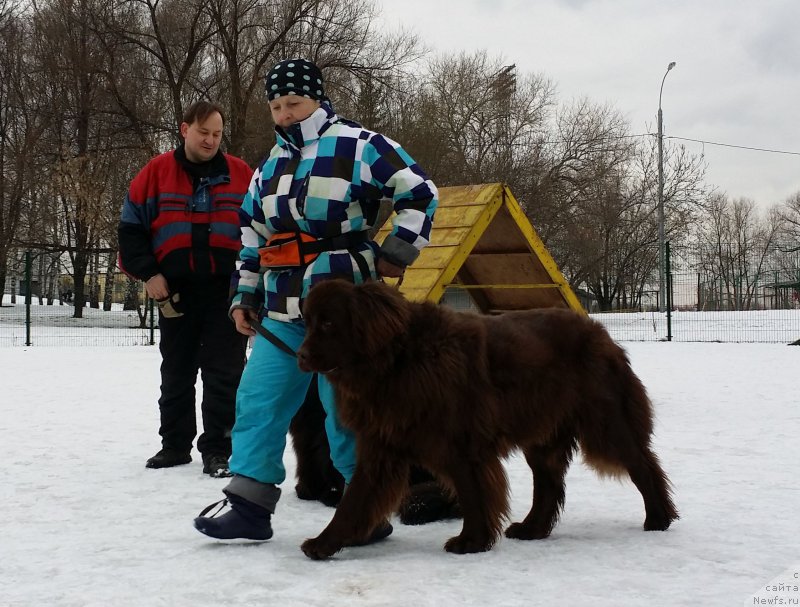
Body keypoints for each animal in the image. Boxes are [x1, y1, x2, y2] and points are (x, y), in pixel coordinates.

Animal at [296, 280, 680, 560]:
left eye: (328, 322)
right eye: (307, 322)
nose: (299, 355)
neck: (397, 360)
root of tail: (602, 335)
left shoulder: (462, 444)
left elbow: (472, 494)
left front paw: (471, 542)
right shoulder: (382, 446)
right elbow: (354, 501)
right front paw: (324, 543)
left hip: (605, 424)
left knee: (643, 465)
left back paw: (658, 518)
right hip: (544, 436)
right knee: (549, 485)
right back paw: (531, 529)